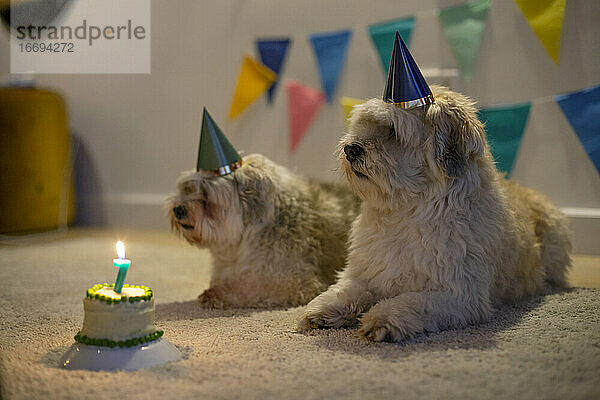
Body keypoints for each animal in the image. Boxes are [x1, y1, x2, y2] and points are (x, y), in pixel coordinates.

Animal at [166, 154, 358, 310]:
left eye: (206, 195)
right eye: (187, 189)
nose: (178, 209)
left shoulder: (294, 281)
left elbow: (249, 287)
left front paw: (215, 294)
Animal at [298, 86, 572, 342]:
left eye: (392, 131)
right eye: (365, 124)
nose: (350, 149)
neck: (405, 212)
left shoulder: (459, 296)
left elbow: (410, 301)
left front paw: (382, 318)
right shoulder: (364, 273)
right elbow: (347, 290)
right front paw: (324, 308)